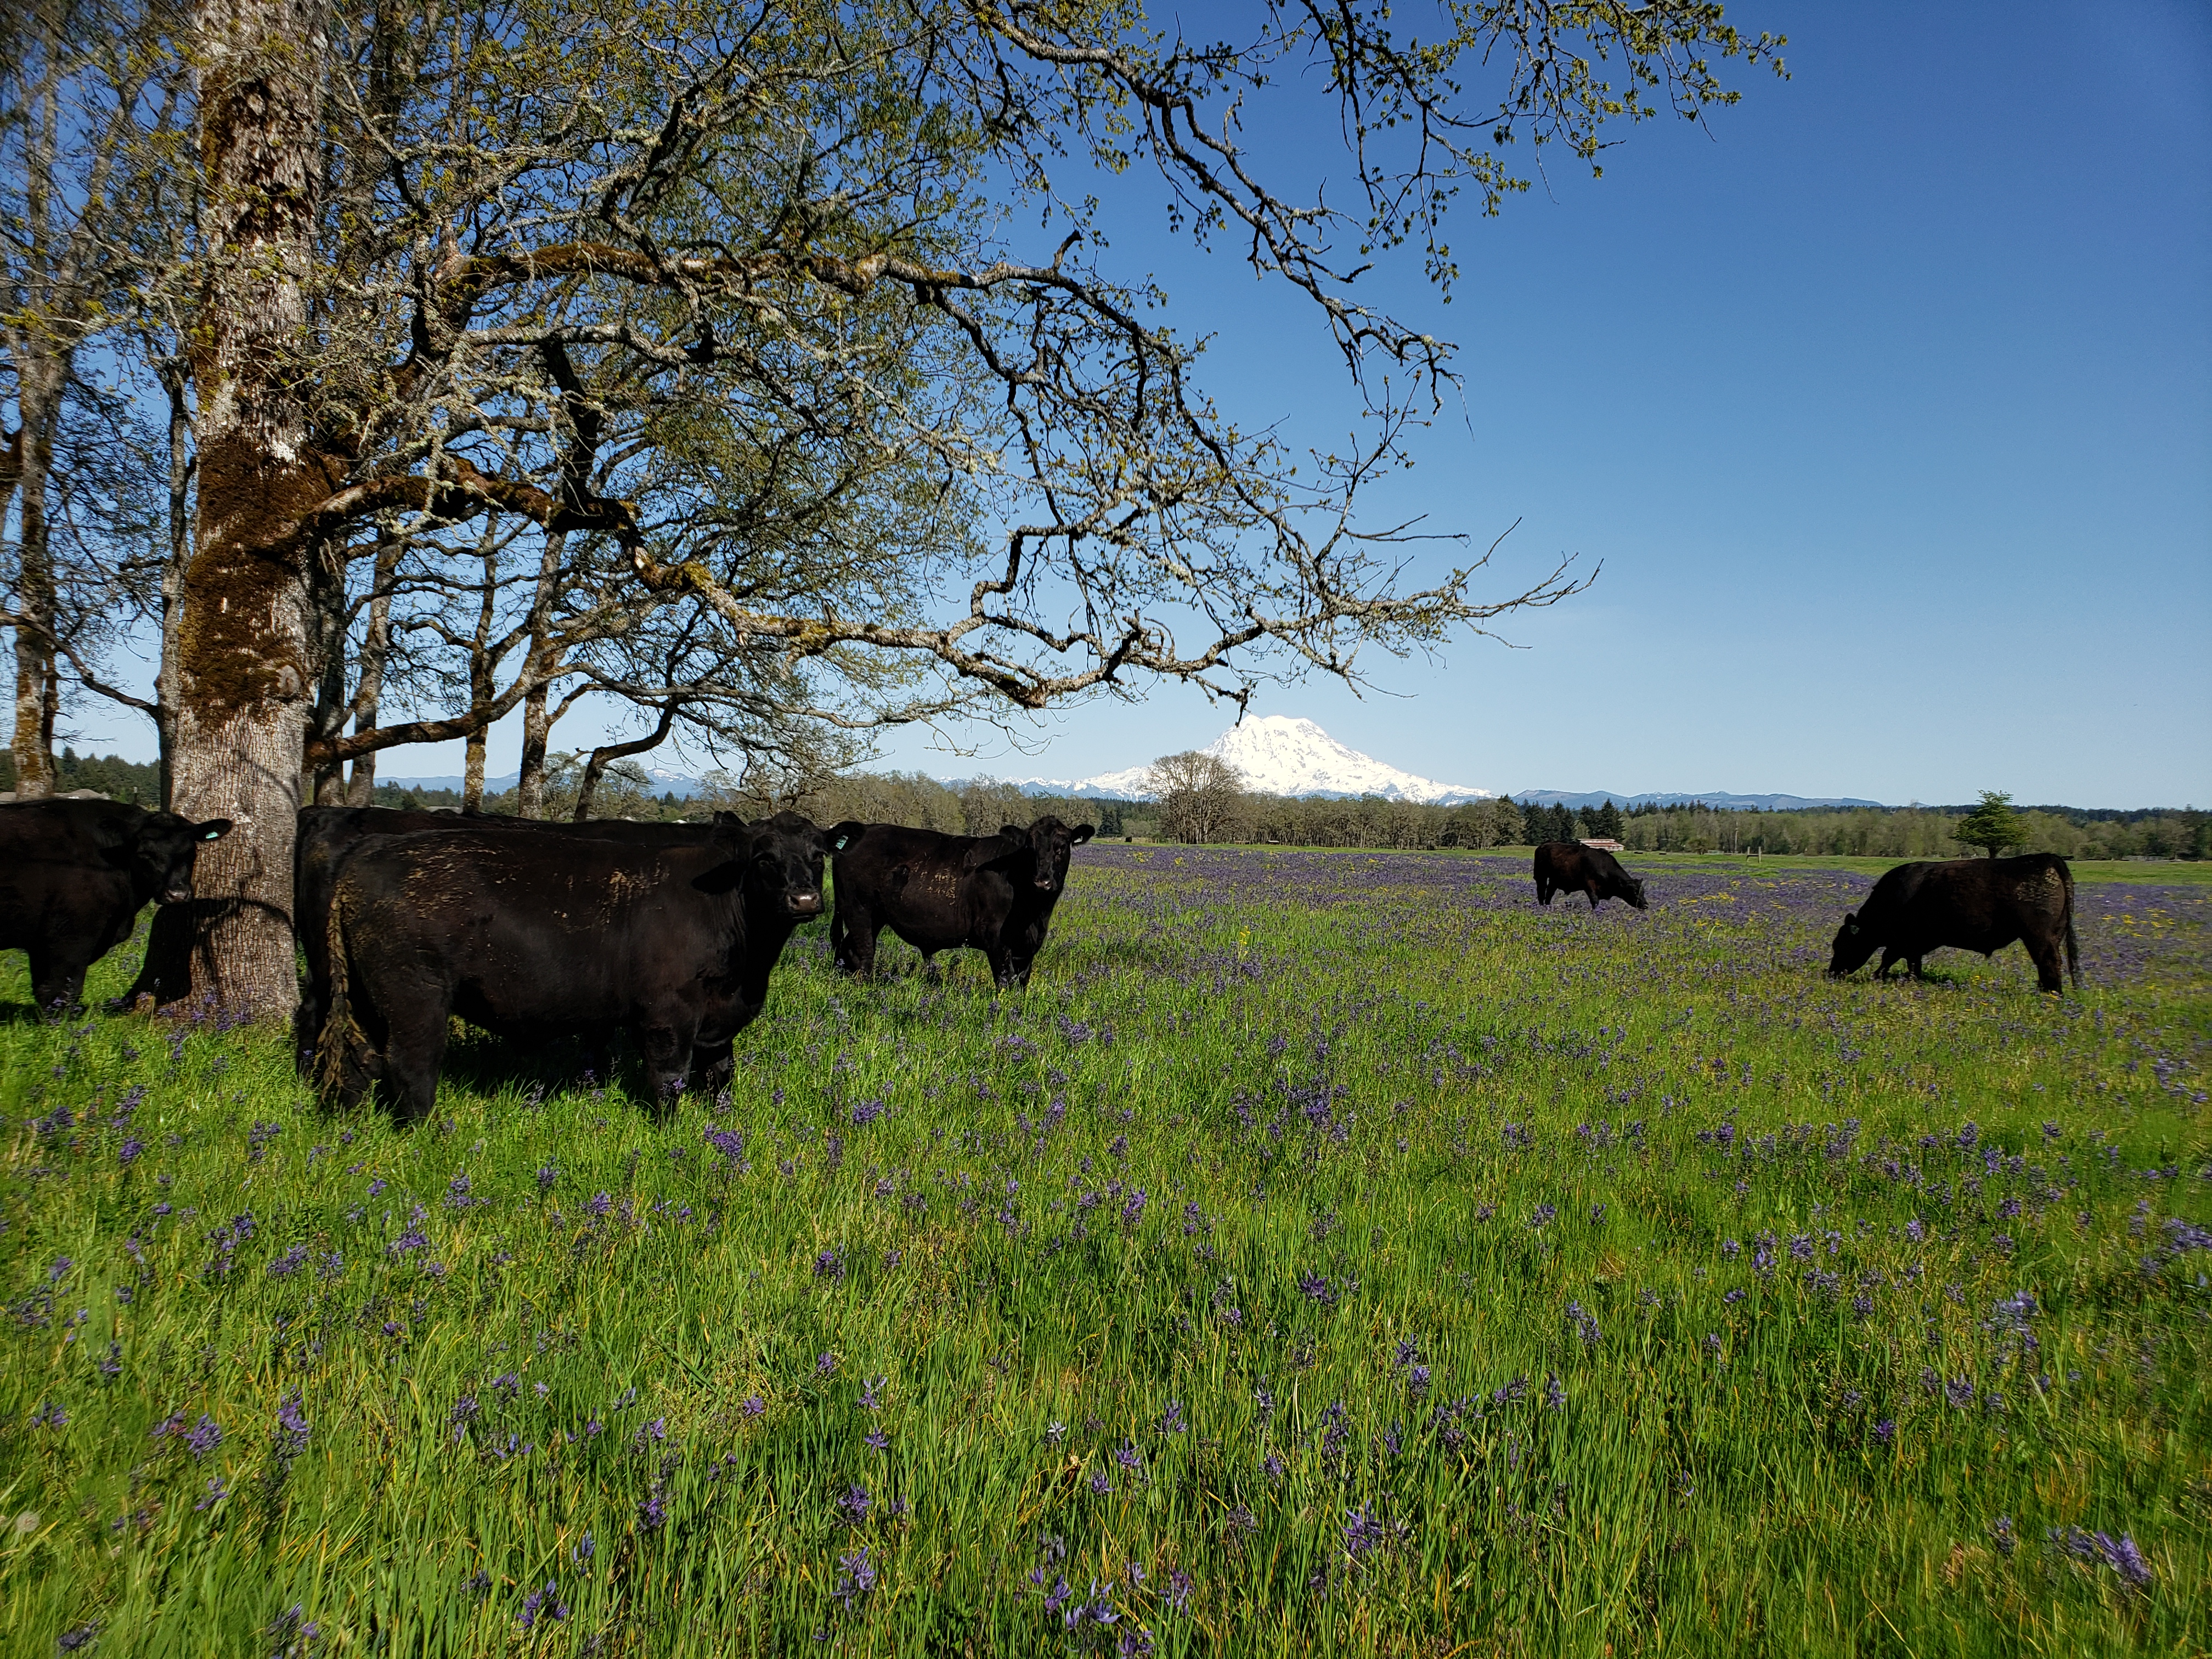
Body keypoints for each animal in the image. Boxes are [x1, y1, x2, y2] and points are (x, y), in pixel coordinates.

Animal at [315, 811, 862, 1122]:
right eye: (764, 858)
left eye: (819, 855)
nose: (805, 899)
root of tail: (372, 848)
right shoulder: (667, 1015)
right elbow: (670, 1079)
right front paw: (673, 1135)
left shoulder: (718, 1022)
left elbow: (720, 1078)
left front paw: (721, 1132)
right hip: (414, 997)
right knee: (412, 1068)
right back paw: (426, 1138)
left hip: (366, 1000)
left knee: (360, 1064)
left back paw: (354, 1133)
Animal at [830, 815, 1095, 988]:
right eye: (1029, 848)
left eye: (1062, 847)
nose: (1042, 881)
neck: (1035, 914)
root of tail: (863, 830)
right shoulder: (995, 939)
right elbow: (1005, 983)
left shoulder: (1027, 948)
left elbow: (1021, 983)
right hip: (859, 911)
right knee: (863, 954)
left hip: (873, 916)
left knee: (847, 951)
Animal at [1533, 841, 1648, 911]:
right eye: (1634, 892)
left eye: (1643, 892)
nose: (1646, 905)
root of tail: (1542, 846)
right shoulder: (1589, 885)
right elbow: (1595, 901)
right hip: (1541, 877)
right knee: (1541, 892)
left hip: (1554, 880)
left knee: (1549, 894)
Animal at [1829, 854, 2079, 994]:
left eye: (1840, 944)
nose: (1832, 973)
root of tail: (2046, 858)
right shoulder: (1915, 945)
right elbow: (1912, 963)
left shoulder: (1903, 941)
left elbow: (1888, 958)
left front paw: (1877, 977)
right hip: (2054, 935)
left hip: (2039, 937)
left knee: (2049, 962)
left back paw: (2051, 994)